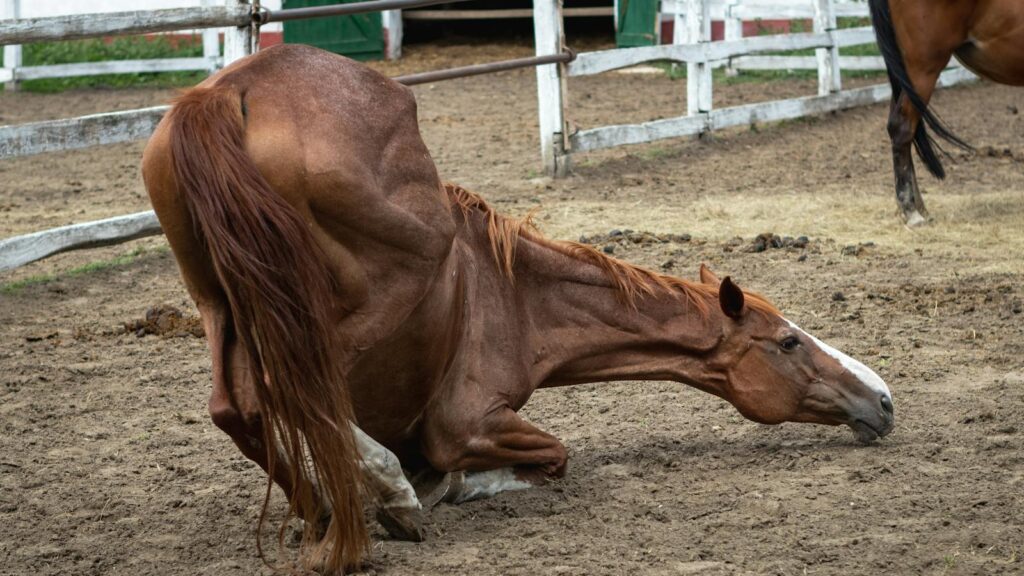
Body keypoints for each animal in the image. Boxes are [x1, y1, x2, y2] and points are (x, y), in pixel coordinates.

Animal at [141, 44, 895, 574]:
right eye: (788, 341)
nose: (883, 400)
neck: (513, 292)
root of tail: (227, 92)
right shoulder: (466, 420)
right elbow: (551, 456)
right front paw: (438, 486)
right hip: (370, 290)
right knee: (292, 390)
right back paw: (383, 503)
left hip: (220, 304)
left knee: (238, 407)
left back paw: (331, 512)